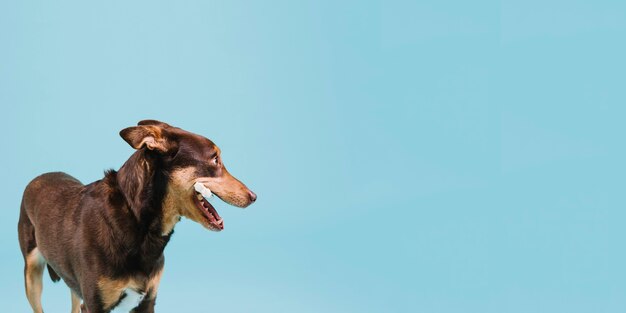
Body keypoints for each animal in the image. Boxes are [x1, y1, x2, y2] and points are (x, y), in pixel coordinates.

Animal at [17, 120, 256, 312]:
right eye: (215, 159)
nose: (254, 196)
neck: (137, 218)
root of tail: (39, 176)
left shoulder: (148, 300)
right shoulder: (94, 304)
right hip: (32, 276)